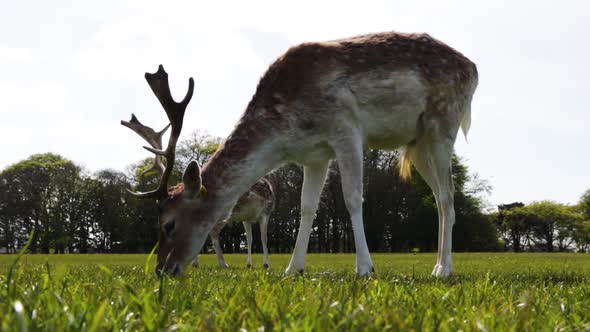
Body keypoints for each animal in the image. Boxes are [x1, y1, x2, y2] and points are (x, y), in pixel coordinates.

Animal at [122, 115, 278, 268]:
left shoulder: (246, 218)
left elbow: (250, 239)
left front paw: (249, 264)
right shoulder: (266, 211)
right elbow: (264, 238)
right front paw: (266, 264)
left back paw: (195, 263)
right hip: (227, 211)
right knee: (213, 232)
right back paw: (222, 263)